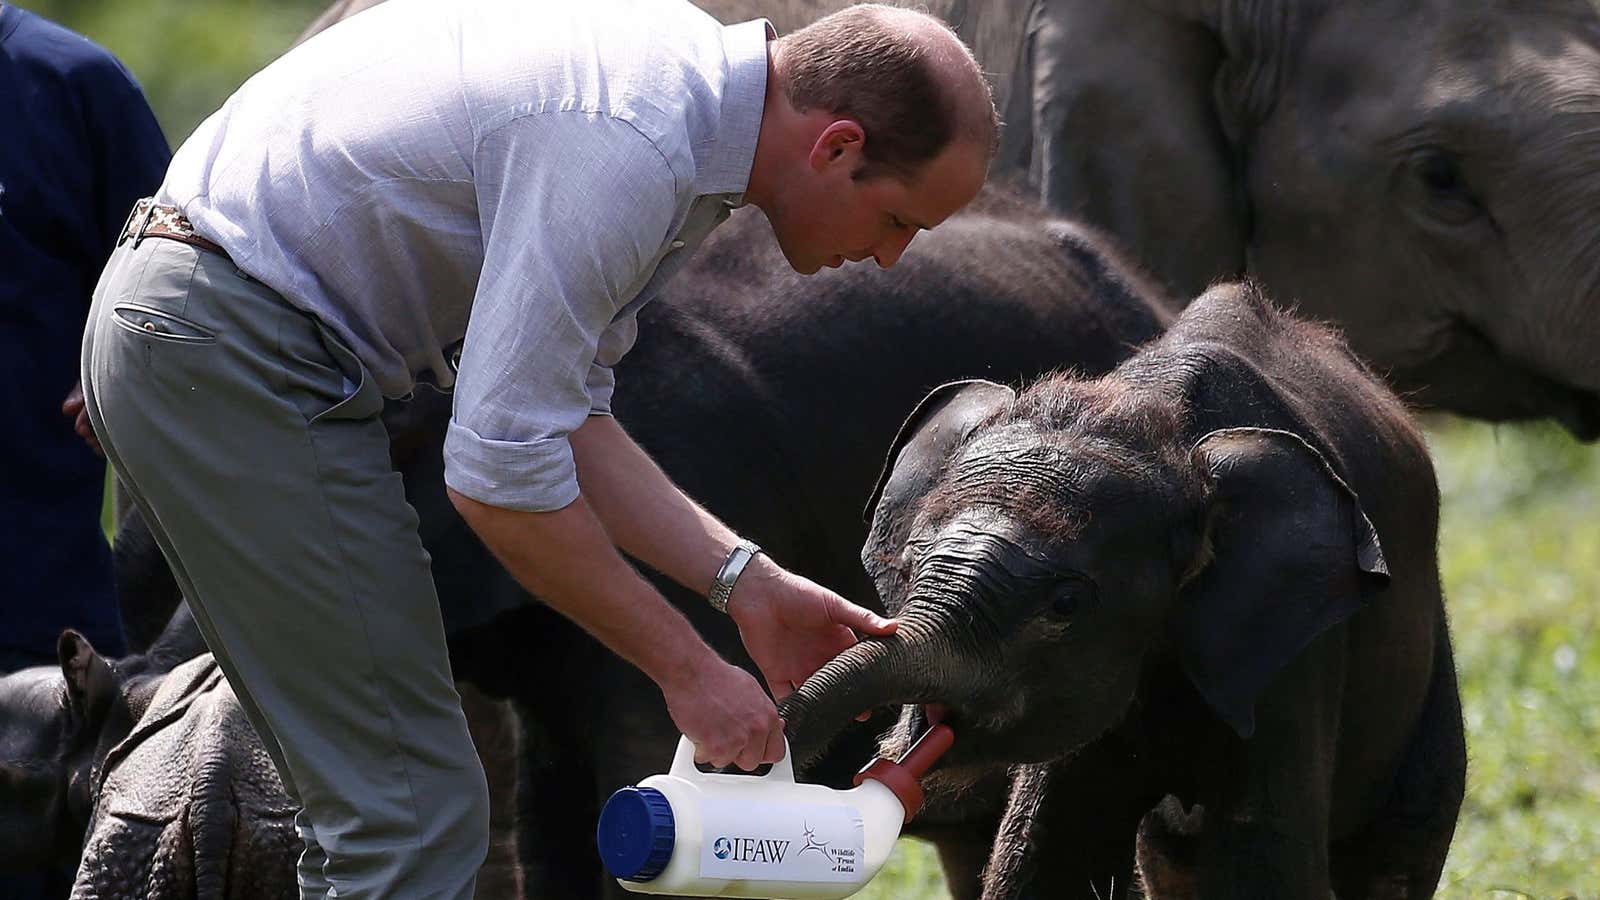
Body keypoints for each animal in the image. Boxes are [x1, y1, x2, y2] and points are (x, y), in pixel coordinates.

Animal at [780, 281, 1465, 896]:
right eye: (912, 560)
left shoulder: (1288, 648)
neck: (1159, 417)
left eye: (1066, 605)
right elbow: (1047, 856)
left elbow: (1260, 865)